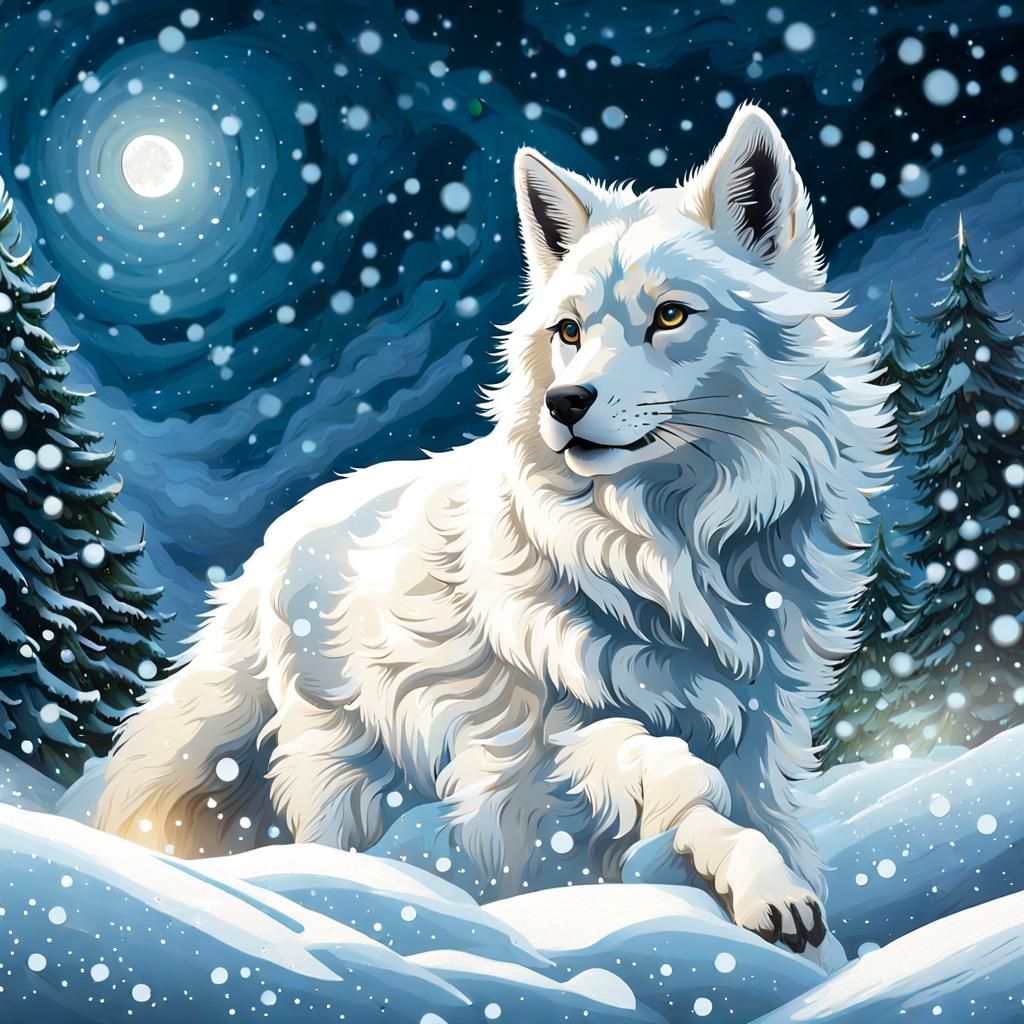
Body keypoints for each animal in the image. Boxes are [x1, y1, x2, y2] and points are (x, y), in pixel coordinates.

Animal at [96, 104, 891, 954]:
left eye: (671, 315)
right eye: (569, 331)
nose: (566, 404)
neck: (670, 544)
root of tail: (270, 542)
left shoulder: (758, 723)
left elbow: (754, 813)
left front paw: (785, 900)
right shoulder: (575, 725)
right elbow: (680, 780)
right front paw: (768, 893)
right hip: (344, 762)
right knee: (333, 835)